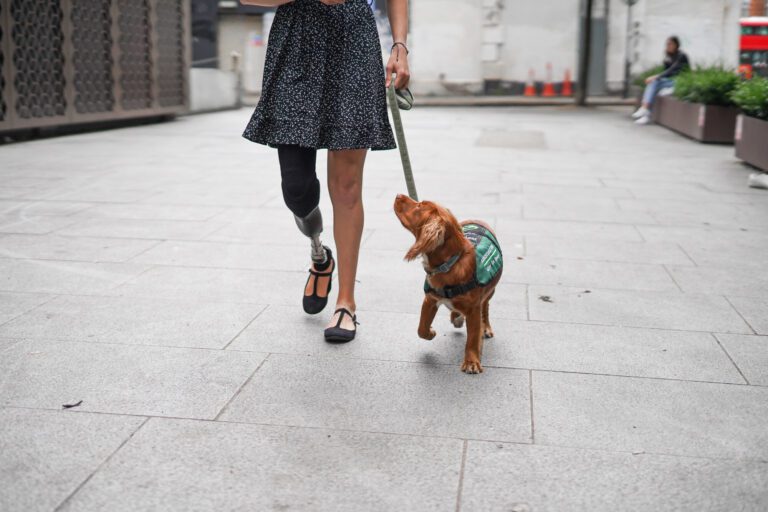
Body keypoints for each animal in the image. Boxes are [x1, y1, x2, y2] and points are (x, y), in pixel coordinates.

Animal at [396, 194, 504, 374]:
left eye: (419, 206)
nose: (398, 195)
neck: (450, 264)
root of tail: (476, 219)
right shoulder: (430, 299)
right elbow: (421, 328)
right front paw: (430, 333)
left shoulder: (474, 309)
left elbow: (473, 338)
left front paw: (471, 362)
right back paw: (456, 316)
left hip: (490, 292)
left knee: (486, 308)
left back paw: (486, 327)